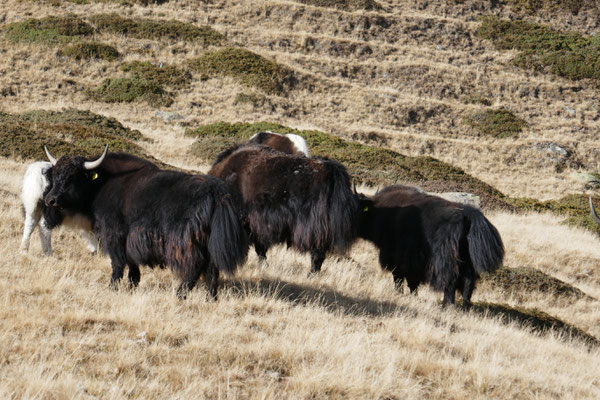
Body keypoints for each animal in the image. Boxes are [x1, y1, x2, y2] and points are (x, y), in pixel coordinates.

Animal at [43, 145, 247, 298]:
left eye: (72, 177)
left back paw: (180, 295)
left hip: (185, 240)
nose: (50, 200)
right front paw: (133, 285)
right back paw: (210, 298)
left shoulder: (113, 233)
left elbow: (117, 263)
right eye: (54, 175)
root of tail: (217, 192)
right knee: (212, 268)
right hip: (209, 239)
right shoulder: (129, 237)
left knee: (194, 266)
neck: (101, 183)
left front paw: (113, 287)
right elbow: (132, 263)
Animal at [209, 144, 358, 272]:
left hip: (315, 226)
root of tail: (331, 170)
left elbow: (259, 248)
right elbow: (260, 248)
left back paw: (311, 274)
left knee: (317, 253)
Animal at [358, 186, 504, 308]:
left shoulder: (399, 258)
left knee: (450, 282)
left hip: (446, 260)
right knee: (468, 284)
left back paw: (446, 306)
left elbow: (401, 278)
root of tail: (469, 215)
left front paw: (401, 294)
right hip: (467, 261)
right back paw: (464, 309)